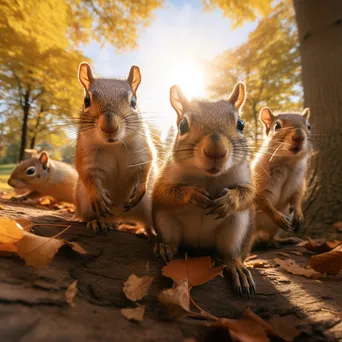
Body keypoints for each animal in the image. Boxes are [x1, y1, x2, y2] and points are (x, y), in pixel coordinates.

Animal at [75, 61, 156, 234]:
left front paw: (140, 188)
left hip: (150, 206)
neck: (114, 146)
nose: (109, 126)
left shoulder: (142, 149)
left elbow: (145, 167)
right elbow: (87, 173)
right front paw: (98, 196)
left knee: (148, 223)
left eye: (133, 102)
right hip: (84, 203)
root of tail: (120, 217)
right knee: (89, 216)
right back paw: (98, 222)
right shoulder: (86, 154)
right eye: (86, 100)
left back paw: (154, 235)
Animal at [153, 83, 256, 296]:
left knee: (230, 253)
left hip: (237, 227)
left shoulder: (245, 175)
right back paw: (164, 246)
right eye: (183, 125)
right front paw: (192, 194)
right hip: (164, 219)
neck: (208, 177)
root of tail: (198, 249)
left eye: (241, 124)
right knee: (172, 241)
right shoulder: (165, 176)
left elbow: (249, 194)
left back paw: (236, 267)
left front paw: (228, 200)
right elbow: (163, 192)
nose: (216, 150)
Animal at [251, 105, 312, 247]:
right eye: (277, 126)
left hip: (277, 226)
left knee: (270, 238)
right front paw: (277, 216)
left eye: (309, 126)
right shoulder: (258, 180)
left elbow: (297, 196)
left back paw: (285, 240)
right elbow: (262, 201)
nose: (299, 137)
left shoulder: (299, 182)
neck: (286, 162)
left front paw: (299, 213)